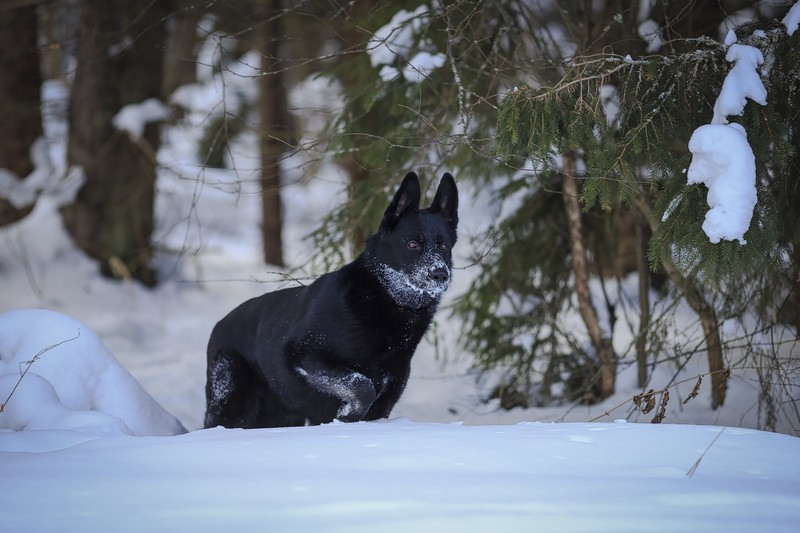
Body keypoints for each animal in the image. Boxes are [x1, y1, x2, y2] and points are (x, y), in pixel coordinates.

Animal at [203, 171, 460, 428]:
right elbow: (362, 385)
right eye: (412, 244)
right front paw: (345, 417)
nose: (440, 274)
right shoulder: (303, 354)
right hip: (230, 404)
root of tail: (219, 324)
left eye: (443, 246)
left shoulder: (390, 391)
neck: (384, 299)